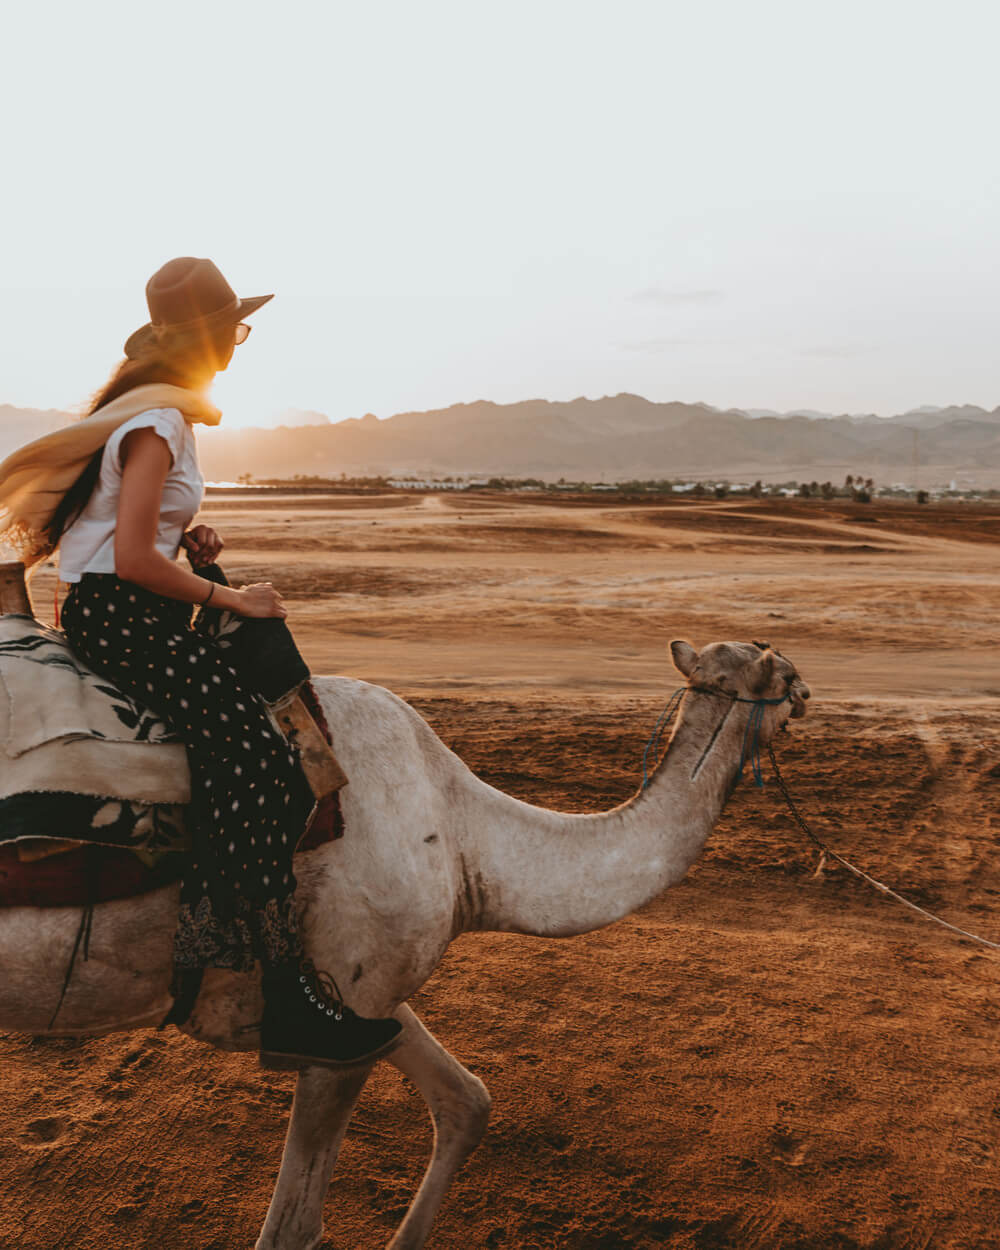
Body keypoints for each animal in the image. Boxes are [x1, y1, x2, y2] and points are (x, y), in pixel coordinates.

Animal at [0, 640, 810, 1245]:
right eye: (782, 674)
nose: (809, 693)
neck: (464, 836)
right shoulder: (339, 1018)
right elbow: (292, 1228)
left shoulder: (361, 998)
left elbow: (467, 1102)